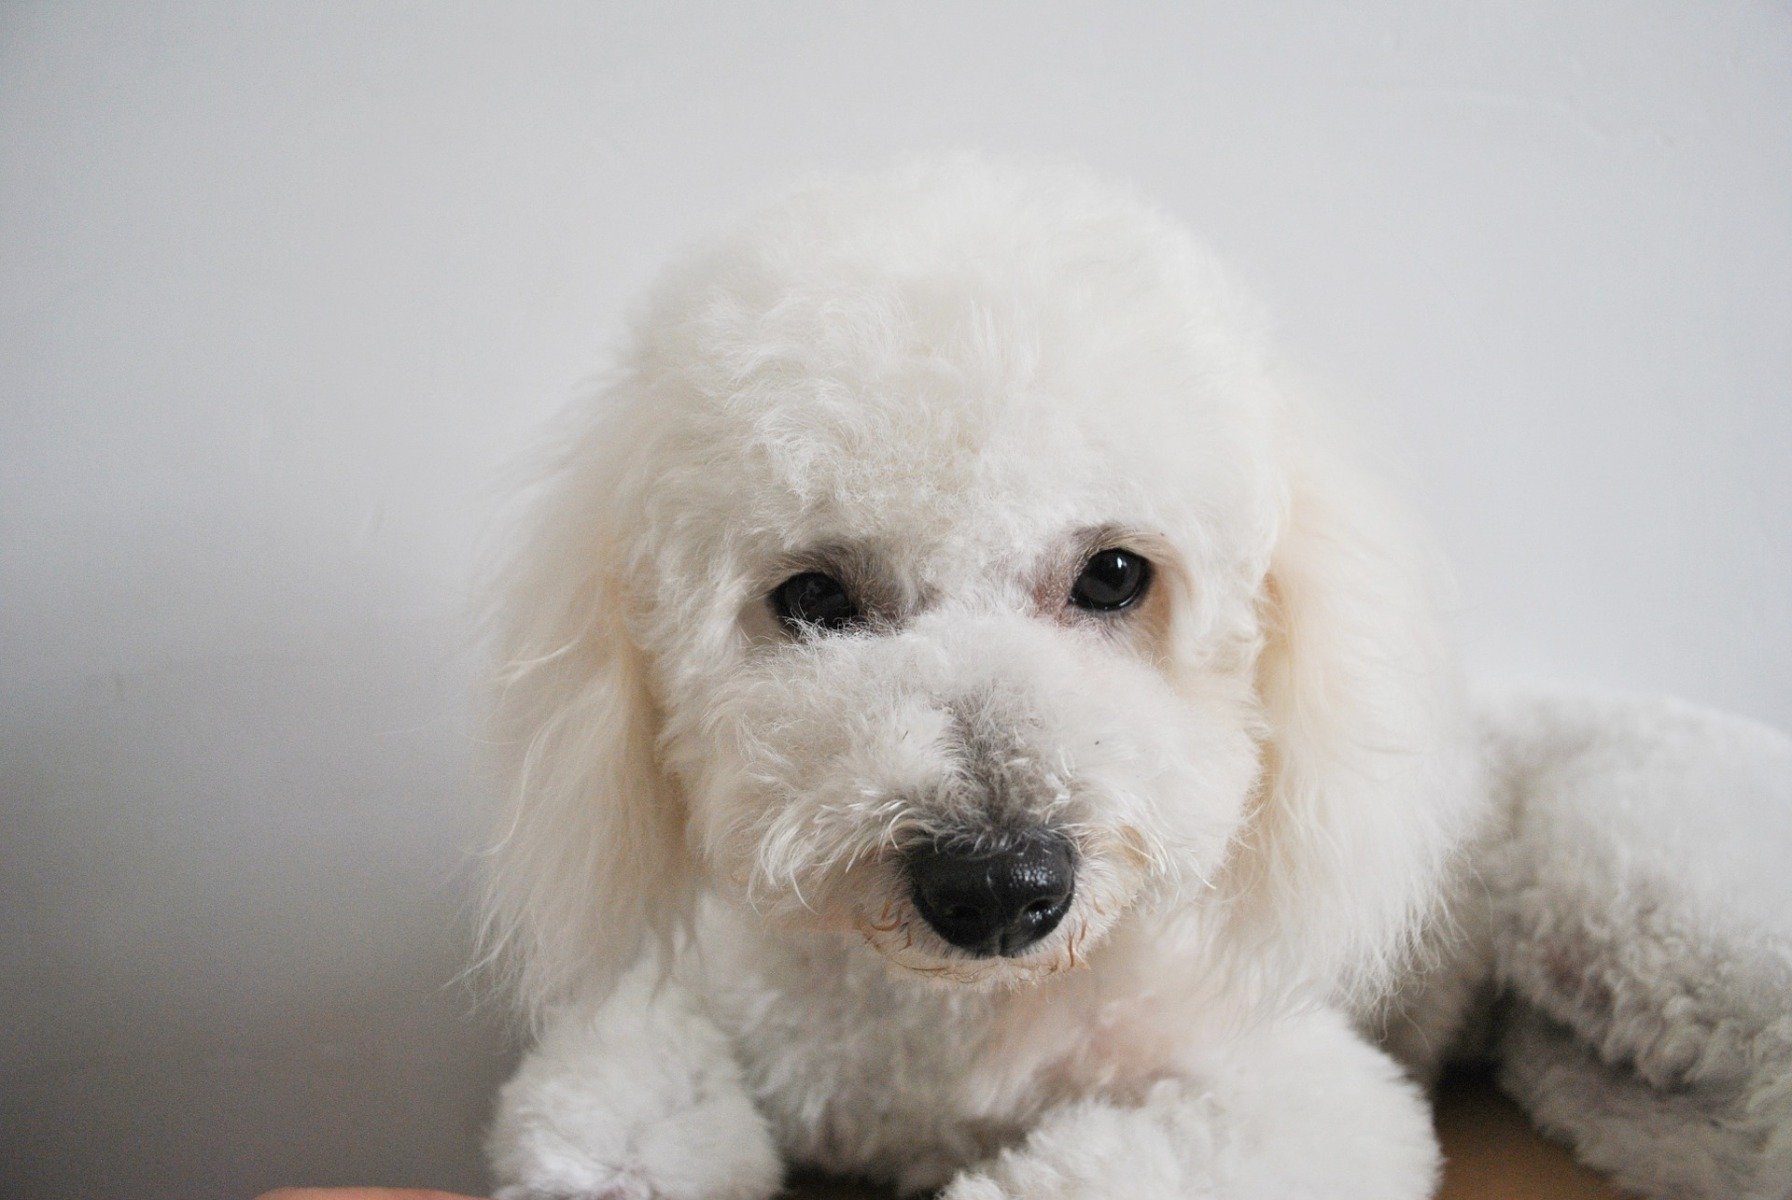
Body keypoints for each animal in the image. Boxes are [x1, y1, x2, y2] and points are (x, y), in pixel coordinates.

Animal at [483, 159, 1792, 1200]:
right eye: (810, 598)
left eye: (1115, 574)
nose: (997, 886)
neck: (957, 1018)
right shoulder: (677, 1014)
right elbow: (604, 1128)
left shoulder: (1297, 1093)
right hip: (1588, 1055)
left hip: (1633, 882)